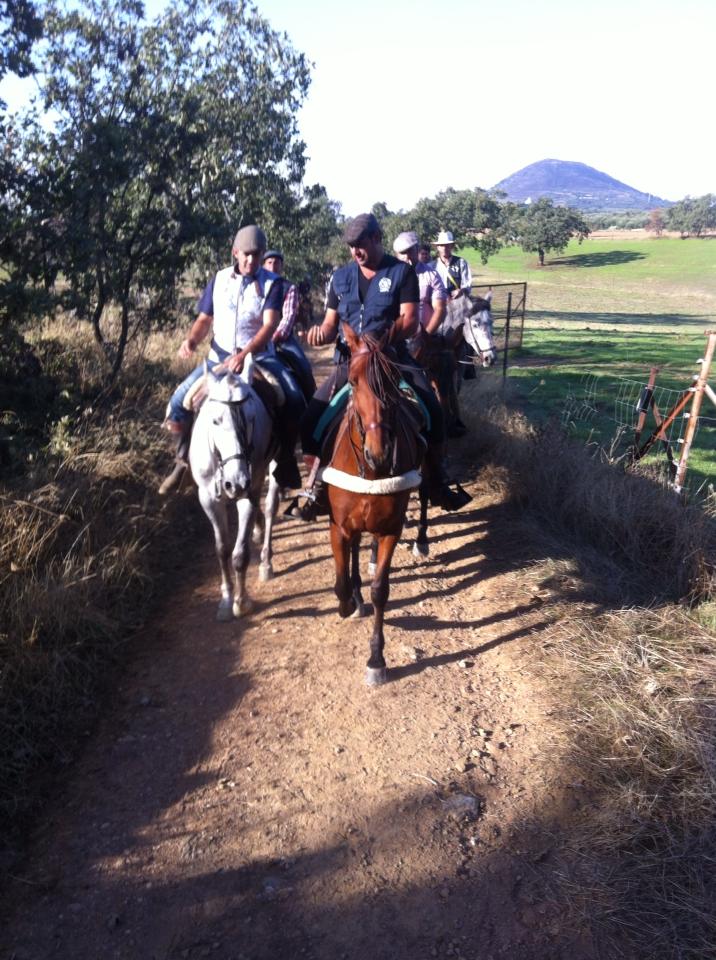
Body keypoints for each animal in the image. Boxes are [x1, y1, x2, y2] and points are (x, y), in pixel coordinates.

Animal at [187, 360, 280, 624]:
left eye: (251, 418)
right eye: (215, 421)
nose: (236, 482)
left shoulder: (248, 493)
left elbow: (240, 554)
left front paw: (241, 601)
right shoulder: (208, 498)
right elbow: (222, 549)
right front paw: (226, 599)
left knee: (271, 506)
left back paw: (266, 562)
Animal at [324, 326, 426, 688]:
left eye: (394, 380)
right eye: (353, 381)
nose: (379, 454)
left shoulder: (389, 531)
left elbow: (381, 590)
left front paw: (376, 659)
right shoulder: (338, 527)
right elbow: (340, 582)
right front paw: (346, 604)